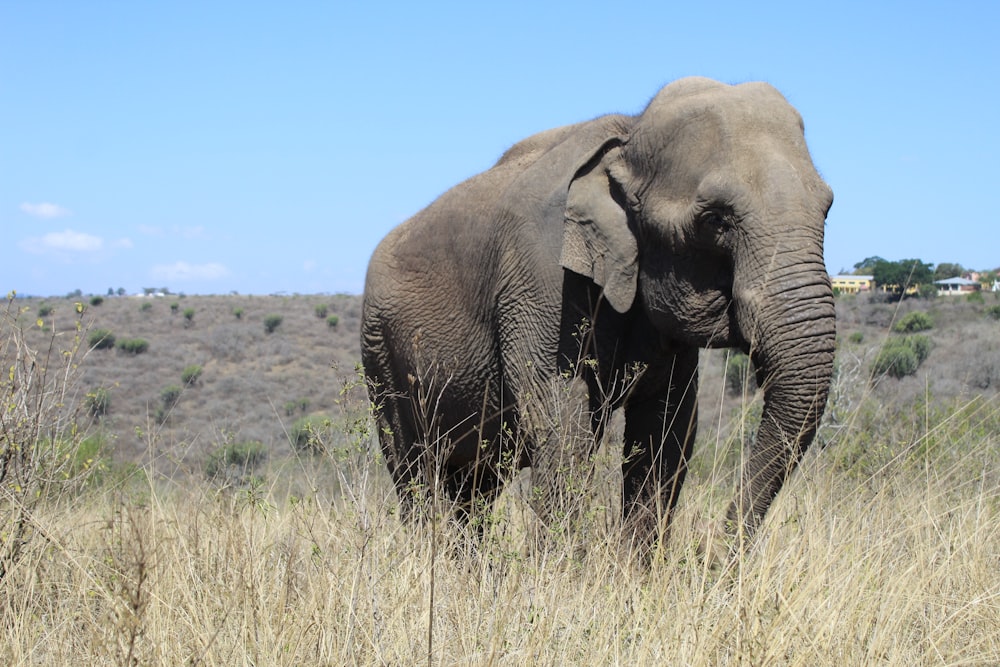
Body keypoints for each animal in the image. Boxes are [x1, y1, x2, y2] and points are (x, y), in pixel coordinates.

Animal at [362, 77, 836, 552]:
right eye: (716, 220)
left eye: (828, 208)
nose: (715, 553)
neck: (628, 137)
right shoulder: (540, 278)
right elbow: (563, 429)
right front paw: (560, 568)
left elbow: (667, 431)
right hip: (379, 353)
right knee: (414, 468)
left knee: (476, 485)